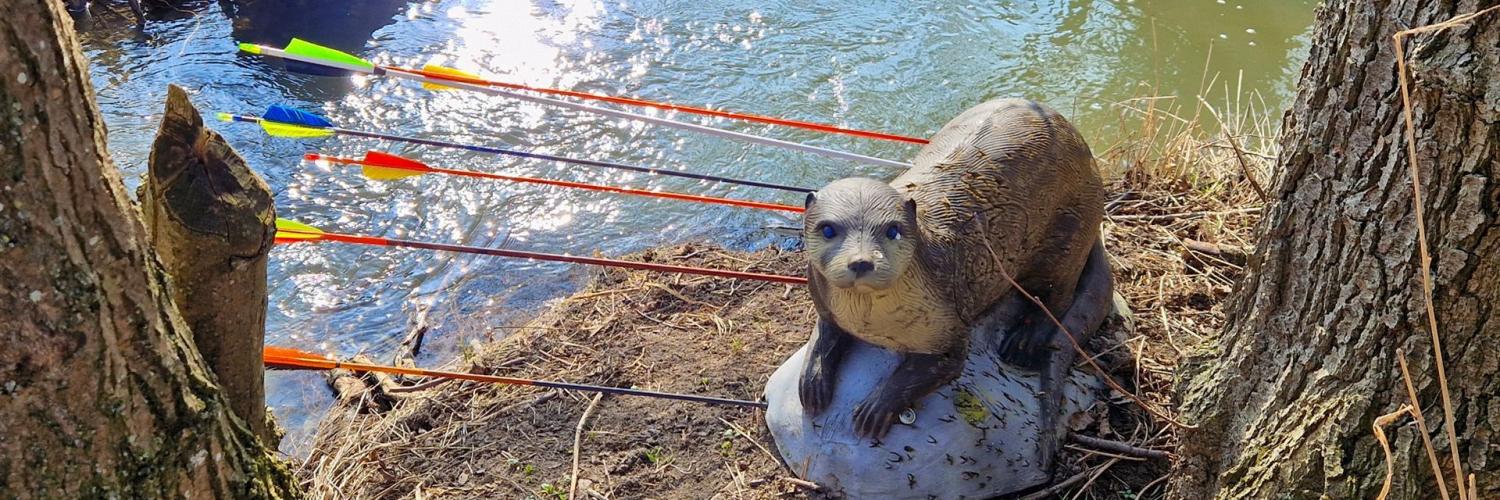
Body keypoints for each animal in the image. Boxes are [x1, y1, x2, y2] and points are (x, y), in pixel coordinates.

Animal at [799, 99, 1113, 462]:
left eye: (892, 230)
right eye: (828, 229)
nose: (862, 261)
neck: (872, 326)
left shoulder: (947, 322)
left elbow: (937, 366)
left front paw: (875, 408)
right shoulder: (825, 304)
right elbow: (822, 335)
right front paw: (813, 383)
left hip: (1069, 233)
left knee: (1058, 295)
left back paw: (1024, 342)